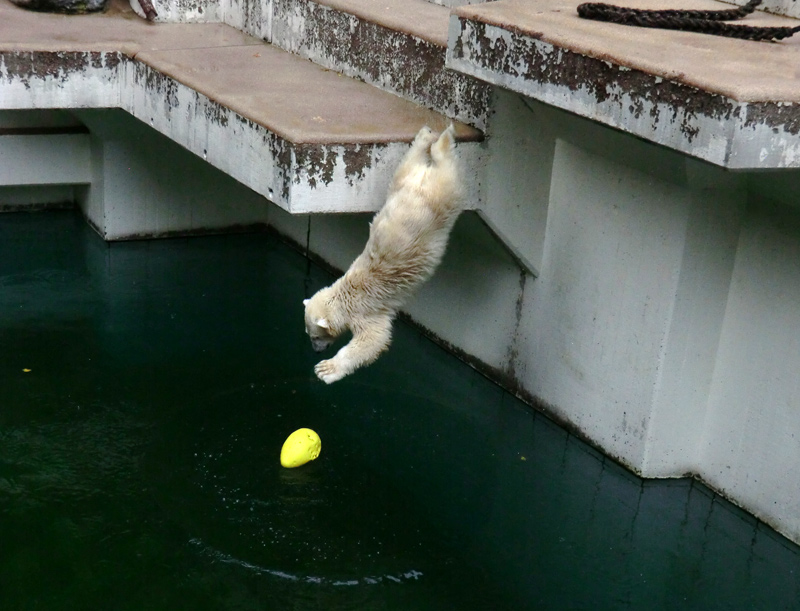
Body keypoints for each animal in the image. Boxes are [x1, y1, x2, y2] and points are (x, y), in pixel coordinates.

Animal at [304, 123, 462, 382]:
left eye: (315, 335)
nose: (316, 350)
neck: (346, 295)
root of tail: (419, 186)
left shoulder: (365, 311)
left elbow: (372, 340)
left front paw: (325, 369)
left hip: (440, 200)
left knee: (448, 176)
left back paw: (444, 140)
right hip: (402, 183)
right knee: (407, 164)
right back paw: (425, 136)